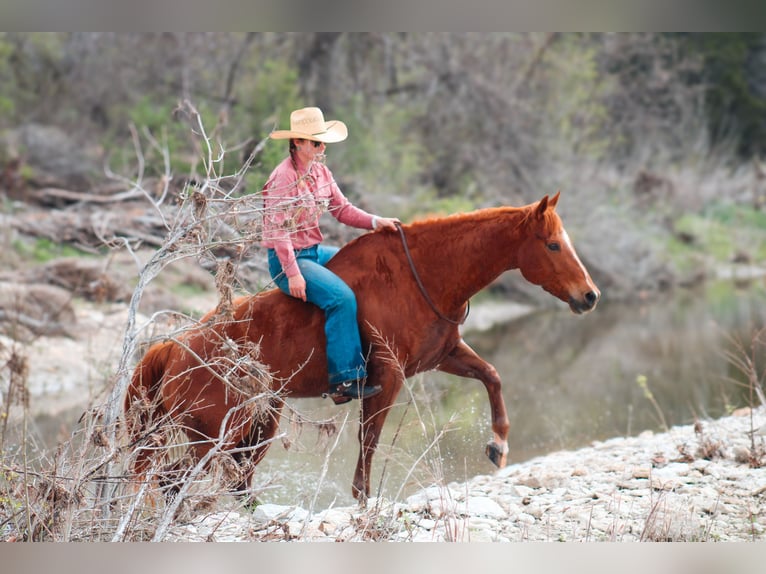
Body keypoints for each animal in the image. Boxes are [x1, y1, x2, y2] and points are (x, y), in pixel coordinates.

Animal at [124, 191, 600, 502]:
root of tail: (172, 349)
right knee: (173, 479)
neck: (420, 277)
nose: (590, 296)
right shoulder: (386, 377)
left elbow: (493, 377)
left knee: (232, 480)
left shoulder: (443, 356)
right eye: (552, 244)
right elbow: (369, 438)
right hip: (213, 435)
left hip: (256, 424)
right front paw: (363, 499)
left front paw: (498, 445)